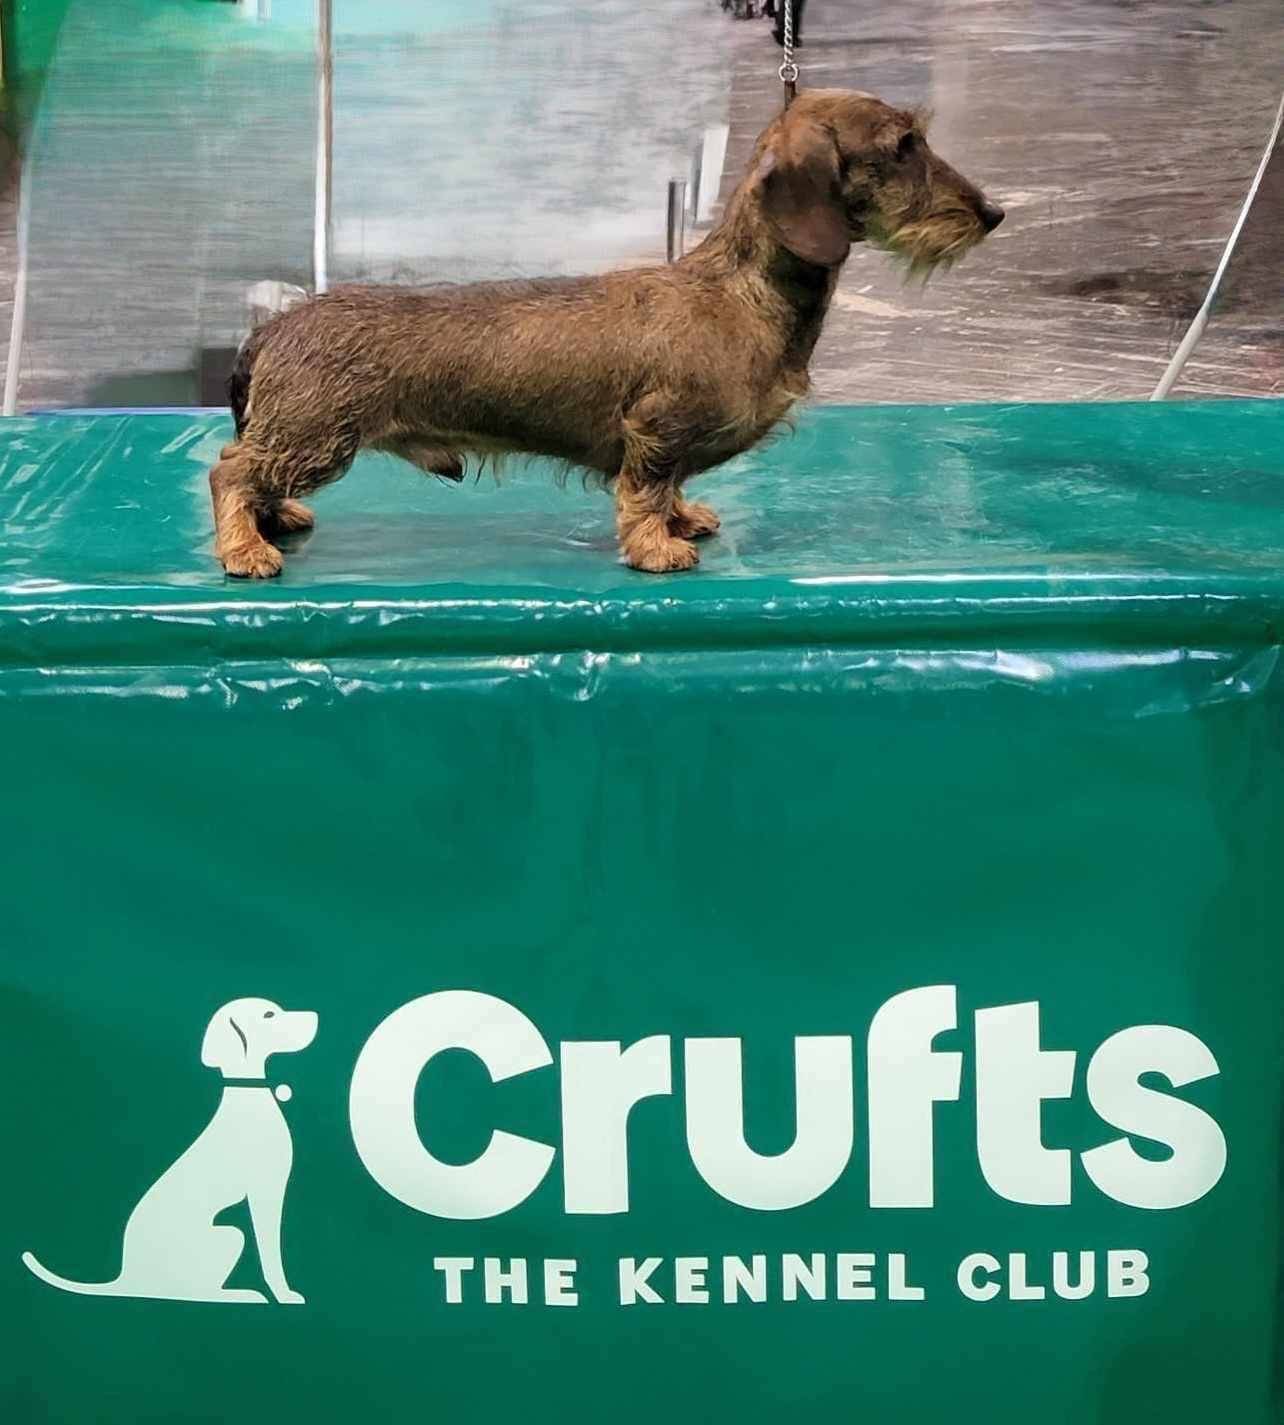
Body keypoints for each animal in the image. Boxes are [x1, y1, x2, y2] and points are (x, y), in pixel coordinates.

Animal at [22, 998, 318, 1305]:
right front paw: (283, 1294)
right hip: (230, 1237)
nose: (315, 1017)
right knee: (199, 1290)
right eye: (269, 1014)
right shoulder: (266, 1190)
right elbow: (270, 1252)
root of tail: (126, 1278)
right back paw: (242, 1294)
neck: (248, 1095)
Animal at [210, 89, 1003, 579]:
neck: (740, 292)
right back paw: (245, 548)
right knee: (230, 470)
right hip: (318, 436)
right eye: (903, 146)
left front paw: (684, 520)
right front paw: (657, 547)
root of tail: (273, 326)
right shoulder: (656, 426)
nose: (992, 213)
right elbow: (646, 488)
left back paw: (275, 519)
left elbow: (673, 486)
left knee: (252, 472)